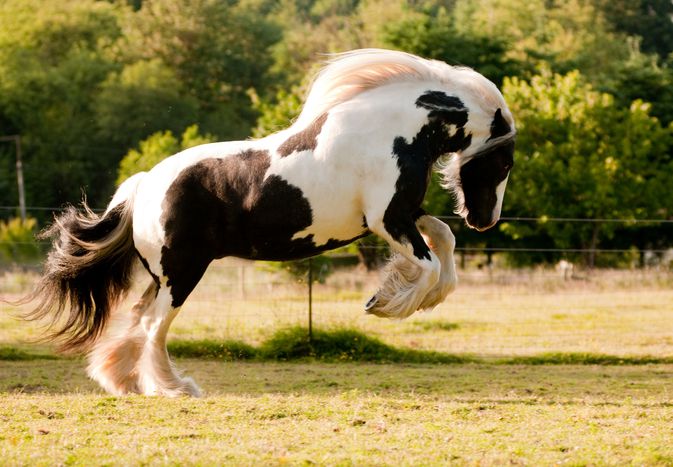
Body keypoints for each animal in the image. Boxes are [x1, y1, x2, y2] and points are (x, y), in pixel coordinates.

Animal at [22, 49, 515, 397]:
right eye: (505, 162)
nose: (483, 220)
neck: (390, 132)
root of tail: (143, 186)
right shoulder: (387, 220)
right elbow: (429, 264)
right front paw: (386, 303)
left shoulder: (404, 214)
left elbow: (444, 242)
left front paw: (404, 297)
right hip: (182, 274)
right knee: (153, 327)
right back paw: (175, 388)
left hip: (162, 277)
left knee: (140, 319)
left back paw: (123, 382)